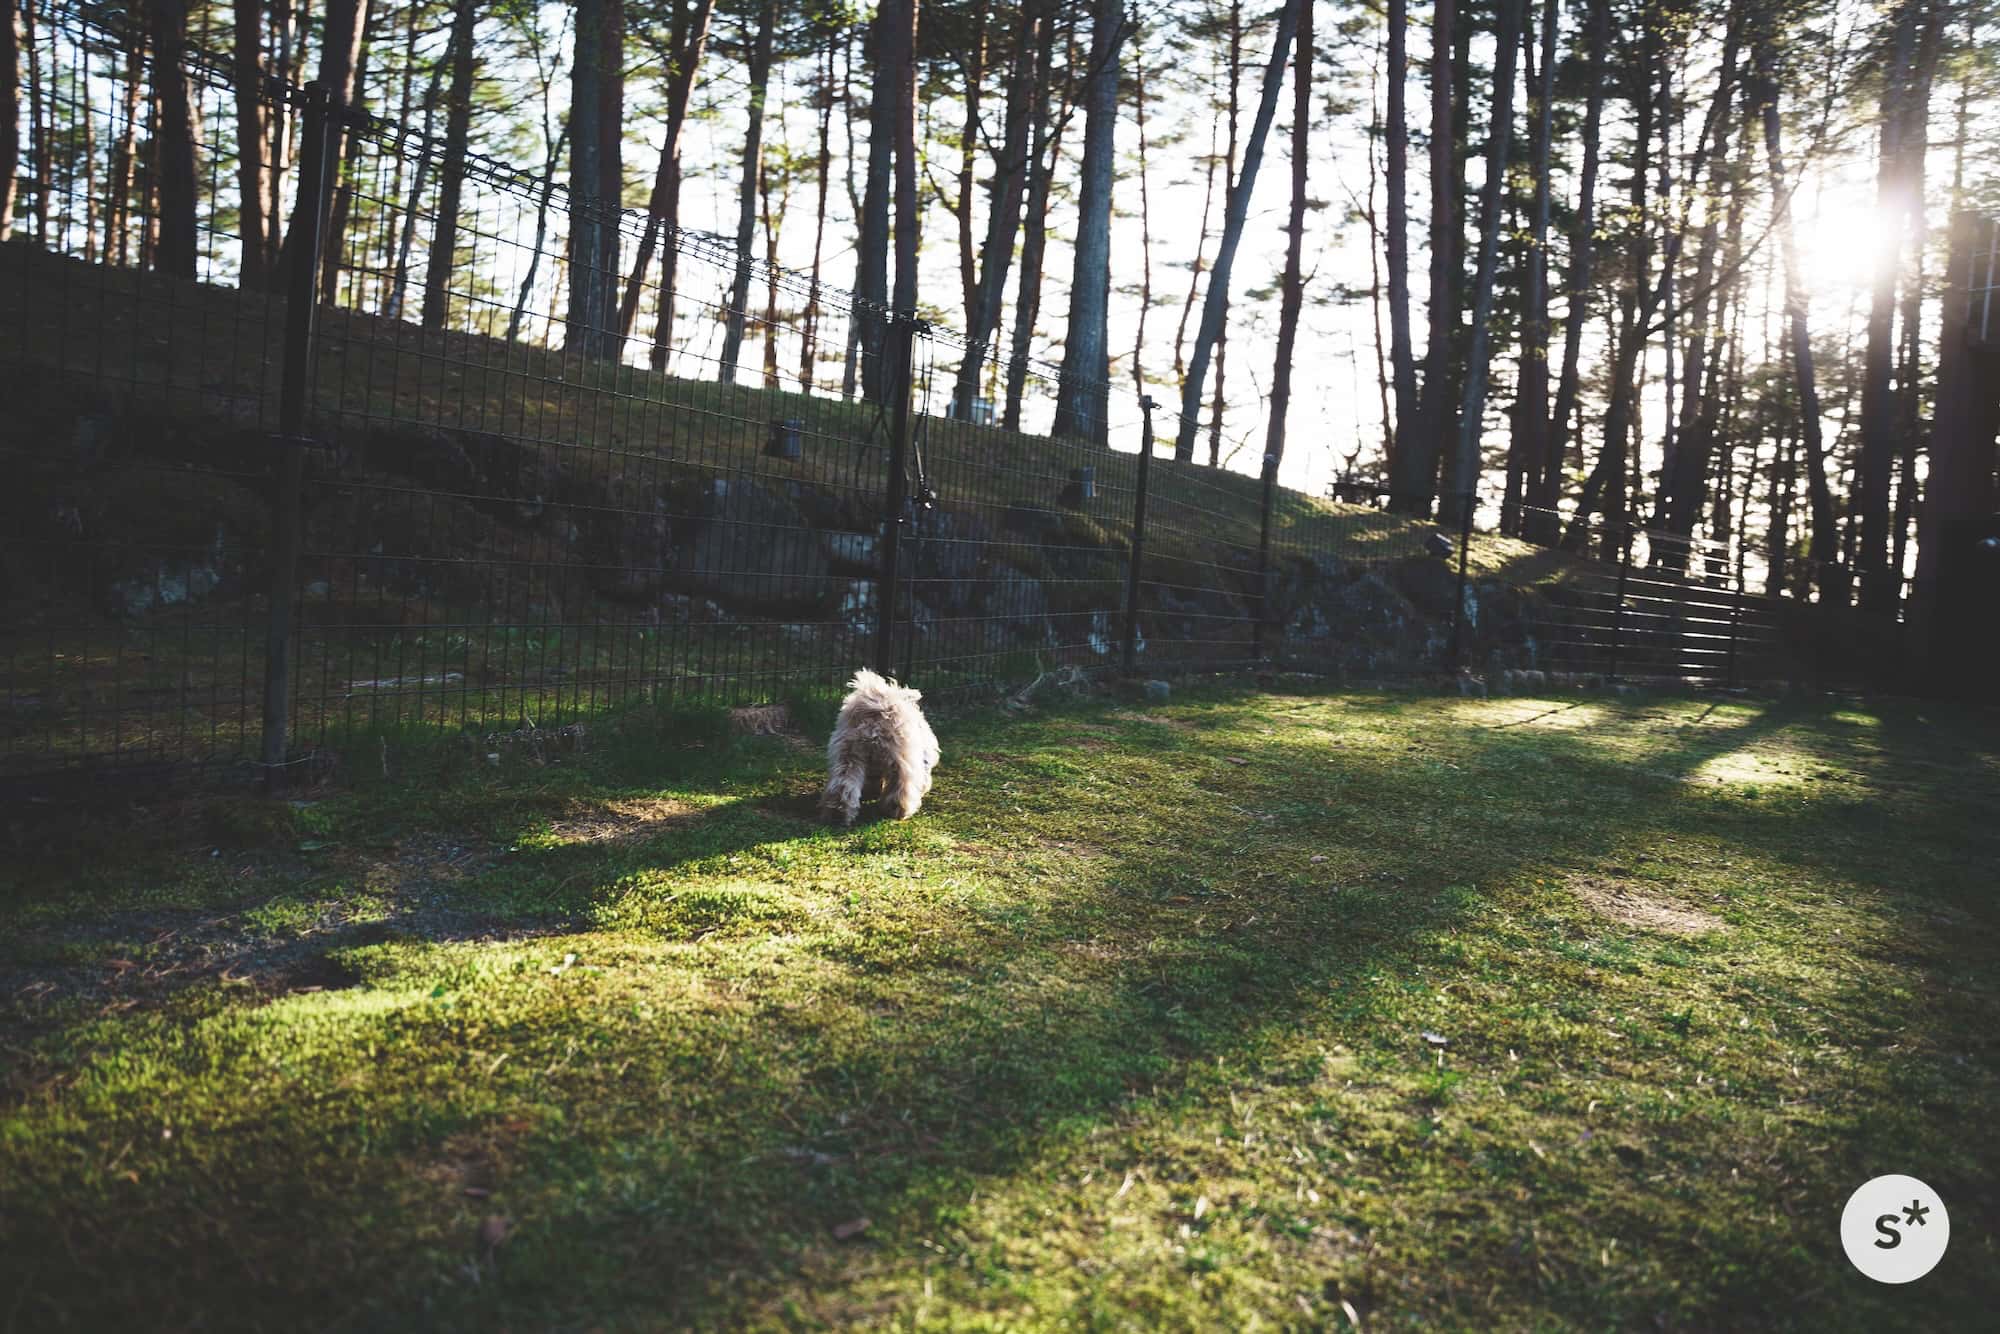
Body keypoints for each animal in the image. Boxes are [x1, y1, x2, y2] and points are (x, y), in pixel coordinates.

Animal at [819, 668, 940, 826]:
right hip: (900, 762)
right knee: (900, 789)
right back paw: (899, 811)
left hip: (848, 756)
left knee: (843, 785)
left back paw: (837, 813)